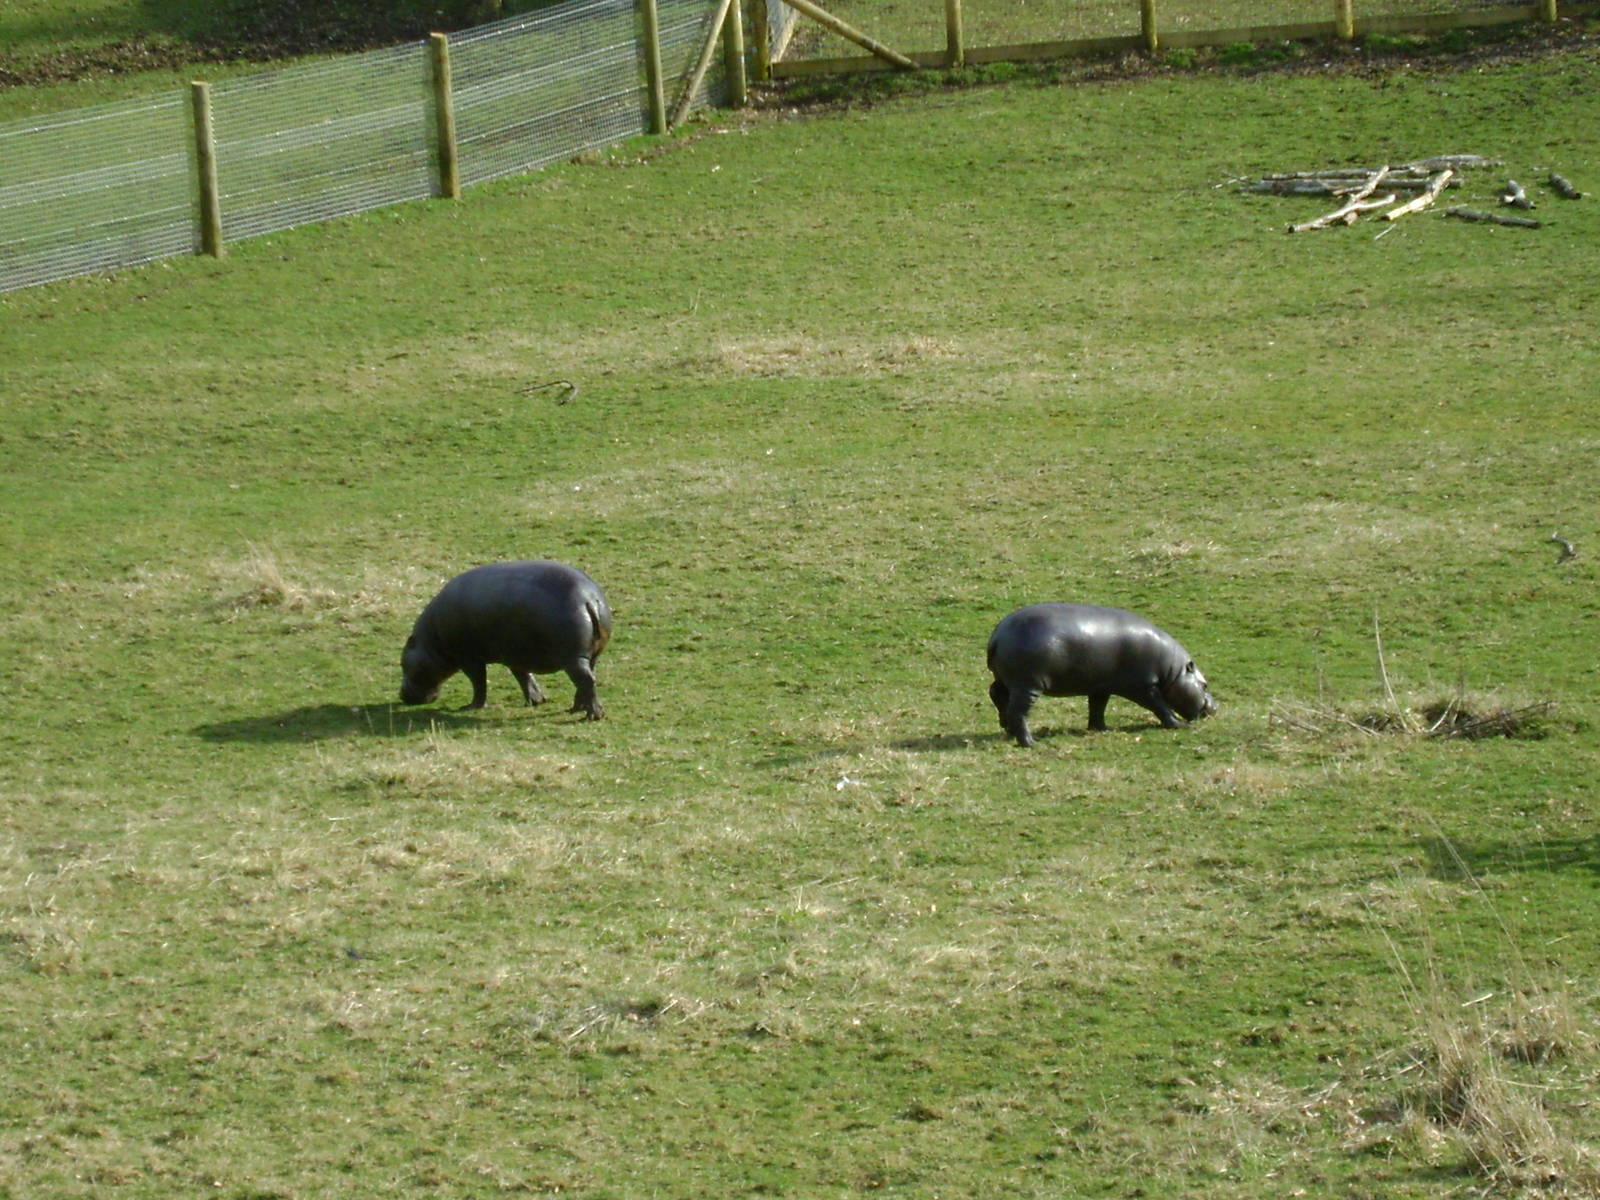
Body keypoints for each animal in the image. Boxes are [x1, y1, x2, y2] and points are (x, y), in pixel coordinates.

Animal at [400, 560, 611, 718]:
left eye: (402, 664)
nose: (402, 695)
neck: (431, 643)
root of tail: (590, 599)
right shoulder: (516, 654)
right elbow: (524, 677)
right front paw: (536, 700)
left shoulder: (469, 659)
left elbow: (479, 683)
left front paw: (470, 707)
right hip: (590, 655)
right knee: (587, 680)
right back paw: (575, 709)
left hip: (572, 658)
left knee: (586, 680)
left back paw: (592, 715)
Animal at [986, 603, 1215, 747]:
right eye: (1204, 685)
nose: (1215, 707)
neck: (1173, 671)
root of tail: (997, 636)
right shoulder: (1144, 687)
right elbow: (1160, 706)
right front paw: (1178, 724)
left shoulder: (1101, 685)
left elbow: (1097, 707)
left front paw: (1103, 729)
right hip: (1028, 684)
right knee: (1018, 711)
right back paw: (1031, 743)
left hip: (1006, 679)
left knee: (997, 694)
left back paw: (1008, 730)